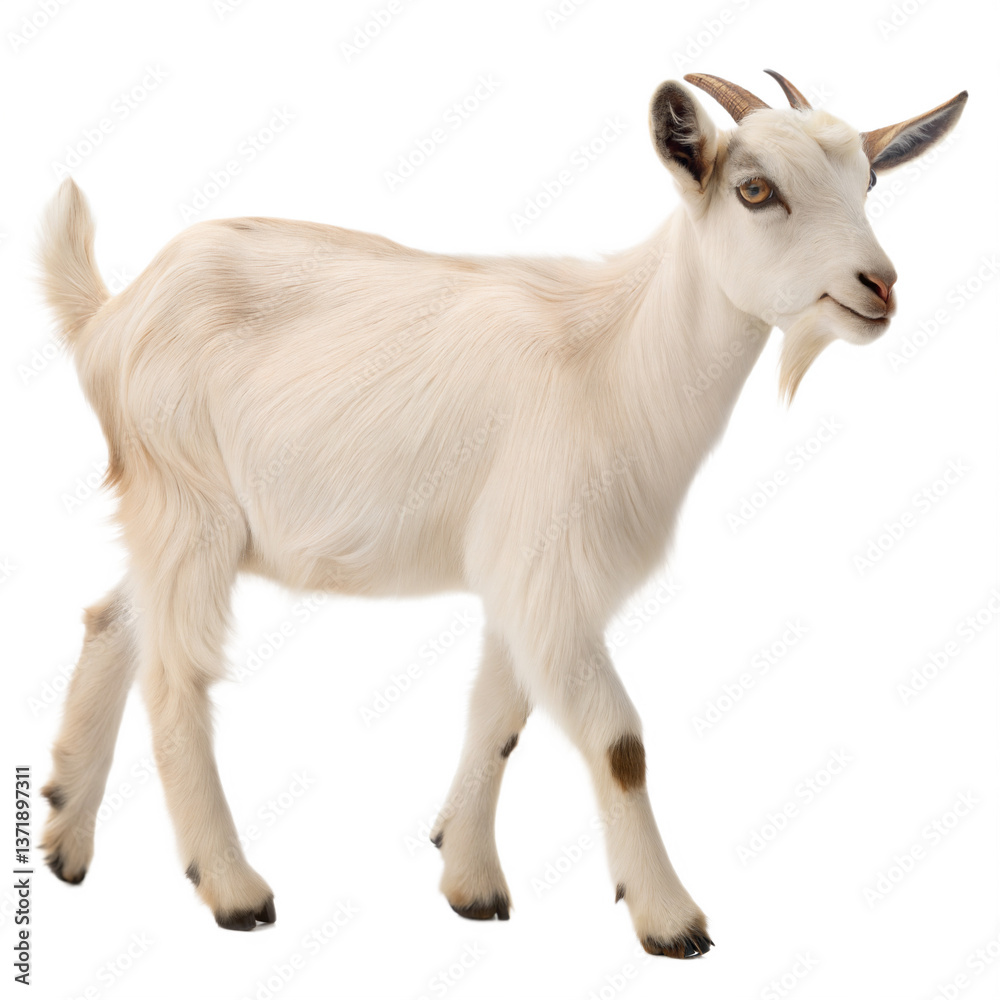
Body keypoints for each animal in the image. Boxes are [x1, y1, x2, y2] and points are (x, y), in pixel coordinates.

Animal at [38, 71, 966, 957]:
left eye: (869, 181)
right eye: (755, 189)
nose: (878, 285)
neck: (619, 357)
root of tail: (111, 317)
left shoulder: (523, 583)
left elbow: (498, 718)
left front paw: (470, 879)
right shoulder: (545, 566)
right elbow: (617, 742)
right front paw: (672, 920)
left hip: (174, 515)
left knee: (111, 620)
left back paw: (63, 837)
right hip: (189, 503)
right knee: (175, 676)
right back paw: (233, 890)